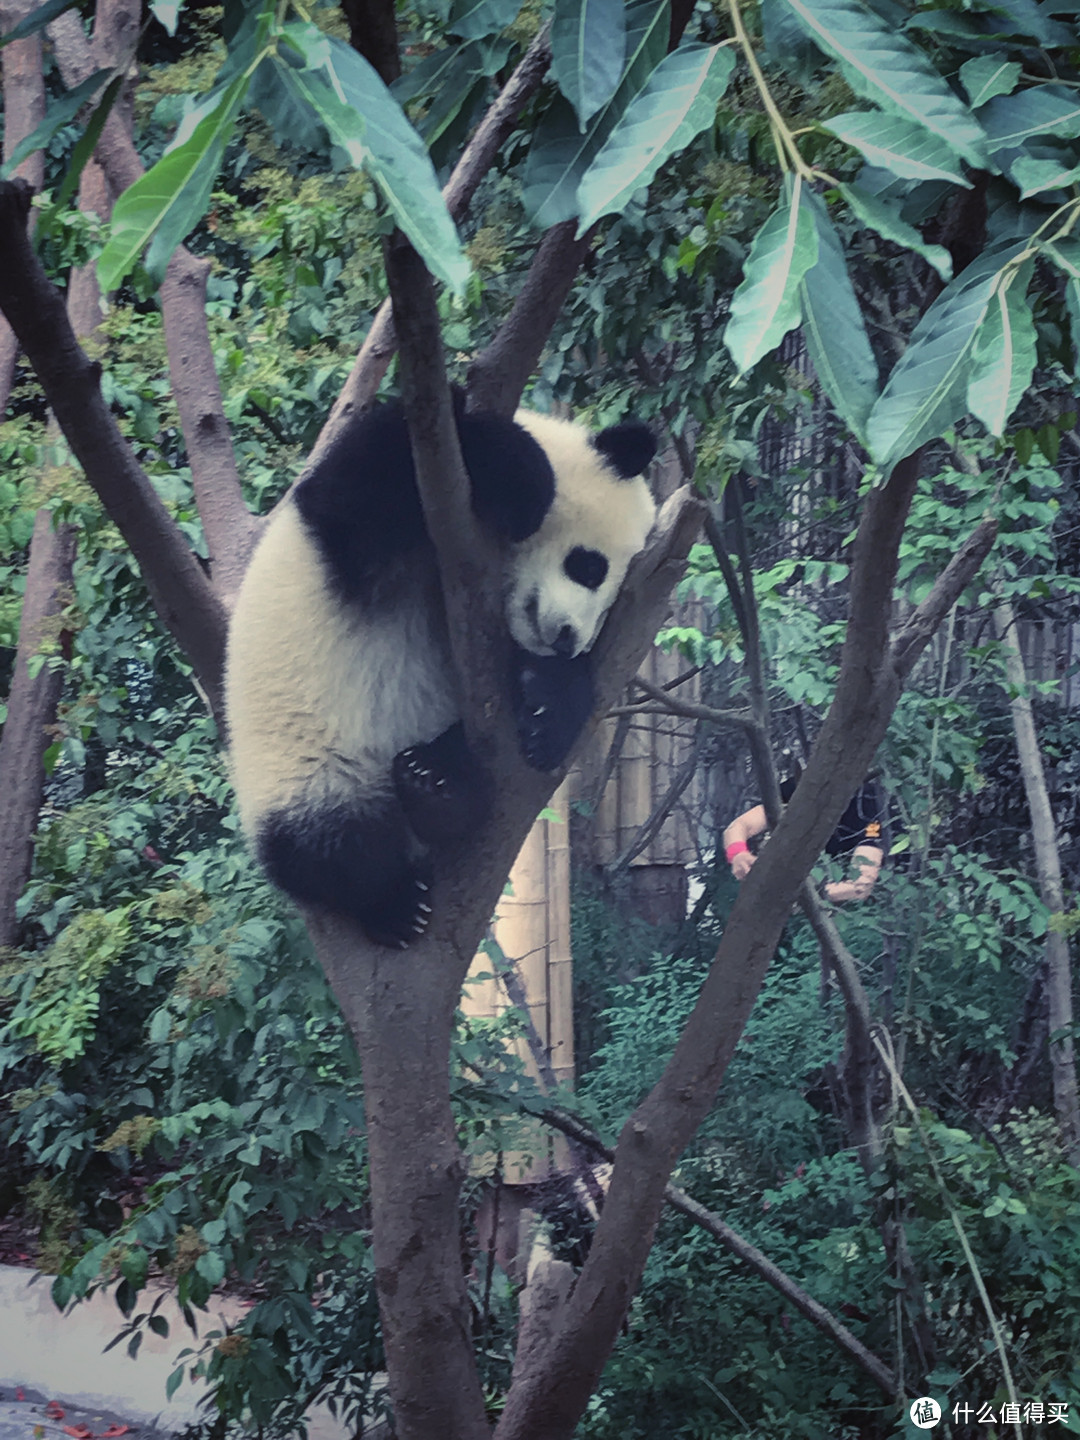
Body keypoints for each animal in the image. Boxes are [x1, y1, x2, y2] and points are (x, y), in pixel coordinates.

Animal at [224, 400, 656, 950]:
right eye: (590, 566)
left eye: (611, 610)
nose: (567, 639)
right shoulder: (371, 513)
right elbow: (370, 483)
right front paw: (524, 477)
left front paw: (547, 708)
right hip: (302, 765)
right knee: (326, 847)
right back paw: (395, 902)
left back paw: (439, 784)